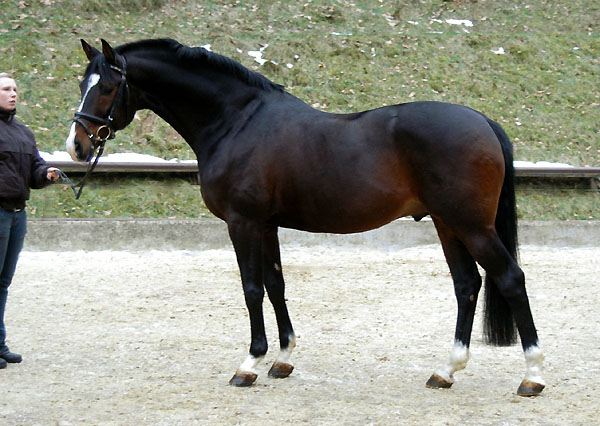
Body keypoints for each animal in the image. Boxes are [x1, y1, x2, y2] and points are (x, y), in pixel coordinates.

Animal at [64, 39, 544, 396]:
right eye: (83, 83)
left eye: (106, 87)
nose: (77, 146)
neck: (237, 122)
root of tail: (482, 120)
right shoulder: (267, 224)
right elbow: (276, 285)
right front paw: (282, 359)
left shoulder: (242, 222)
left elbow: (251, 289)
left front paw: (249, 363)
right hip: (448, 224)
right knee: (467, 285)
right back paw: (446, 371)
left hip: (471, 225)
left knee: (510, 279)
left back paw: (532, 375)